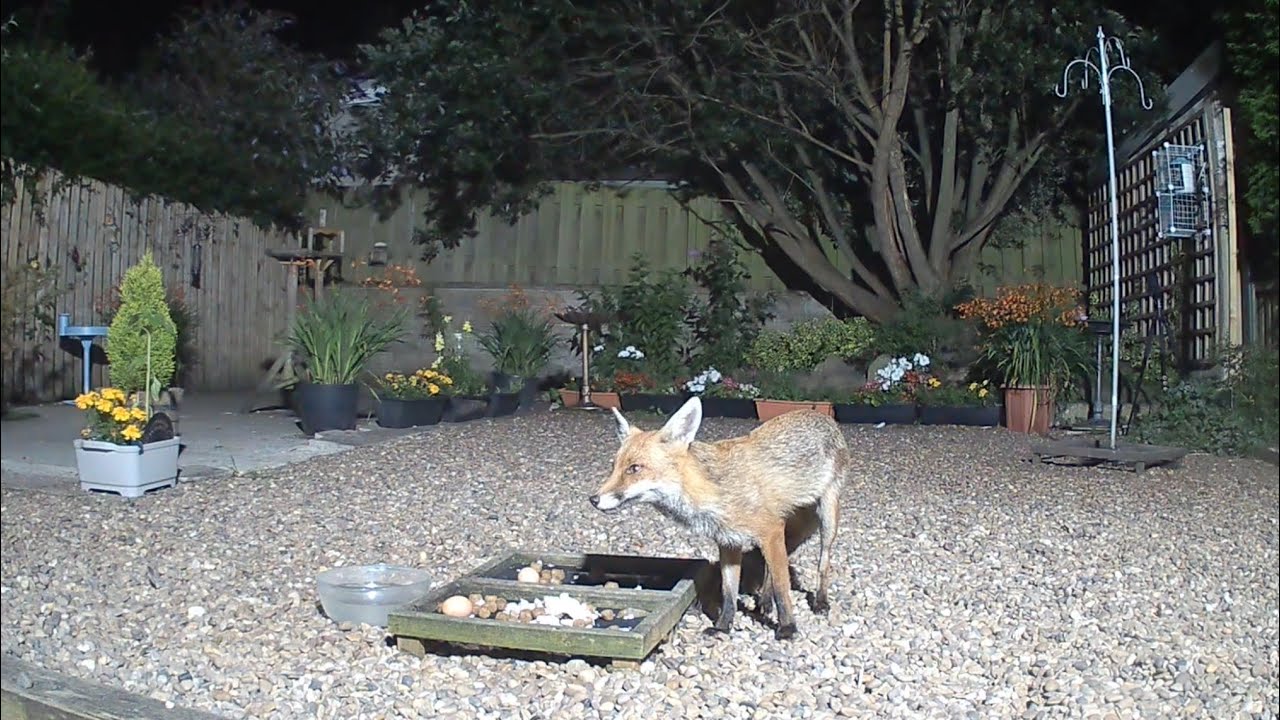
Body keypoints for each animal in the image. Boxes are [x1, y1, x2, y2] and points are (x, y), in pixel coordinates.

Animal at [589, 395, 849, 640]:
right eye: (614, 467)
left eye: (634, 468)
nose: (593, 499)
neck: (712, 491)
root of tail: (821, 415)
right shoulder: (729, 542)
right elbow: (729, 593)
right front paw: (723, 626)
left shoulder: (770, 531)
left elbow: (782, 588)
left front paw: (787, 628)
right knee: (769, 571)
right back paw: (764, 603)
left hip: (826, 519)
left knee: (822, 563)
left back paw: (820, 601)